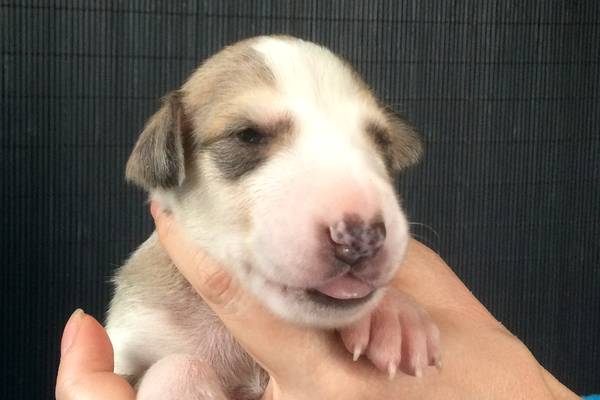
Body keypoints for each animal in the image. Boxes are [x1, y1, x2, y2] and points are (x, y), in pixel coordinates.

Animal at [106, 35, 440, 400]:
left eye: (382, 141)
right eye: (248, 135)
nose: (362, 236)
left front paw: (392, 314)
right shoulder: (126, 352)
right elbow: (178, 365)